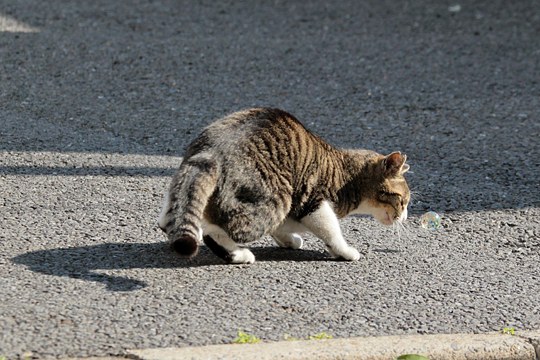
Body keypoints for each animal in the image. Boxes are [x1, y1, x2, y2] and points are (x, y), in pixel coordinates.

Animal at [158, 107, 412, 264]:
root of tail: (211, 153)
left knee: (172, 218)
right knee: (214, 231)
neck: (347, 174)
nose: (406, 217)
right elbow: (331, 230)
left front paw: (289, 240)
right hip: (273, 201)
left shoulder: (295, 207)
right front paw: (345, 251)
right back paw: (239, 254)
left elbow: (282, 228)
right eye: (403, 201)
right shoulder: (313, 202)